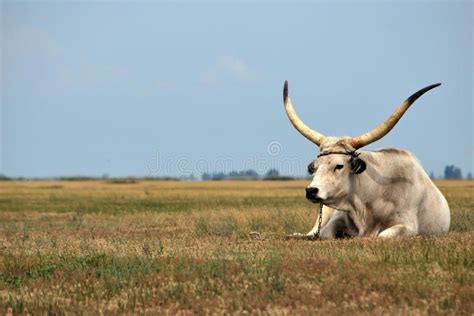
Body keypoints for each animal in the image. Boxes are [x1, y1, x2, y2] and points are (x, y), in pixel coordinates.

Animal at [284, 80, 450, 238]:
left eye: (339, 166)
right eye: (314, 167)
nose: (311, 190)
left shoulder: (408, 226)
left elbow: (383, 235)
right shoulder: (337, 218)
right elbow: (325, 233)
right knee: (313, 232)